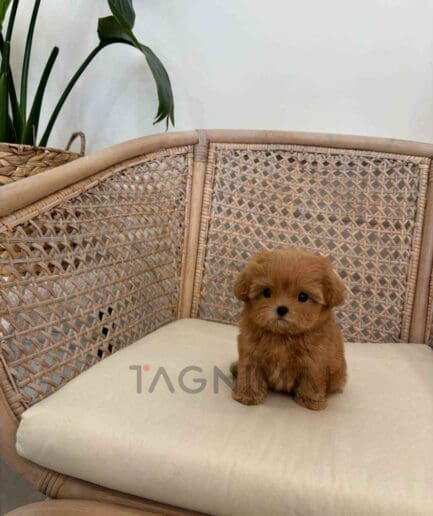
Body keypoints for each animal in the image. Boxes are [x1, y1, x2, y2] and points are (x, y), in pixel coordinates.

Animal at [231, 248, 347, 410]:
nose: (282, 309)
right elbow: (250, 372)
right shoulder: (251, 351)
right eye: (266, 292)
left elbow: (312, 380)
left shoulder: (315, 359)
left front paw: (310, 401)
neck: (283, 335)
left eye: (303, 296)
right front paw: (248, 395)